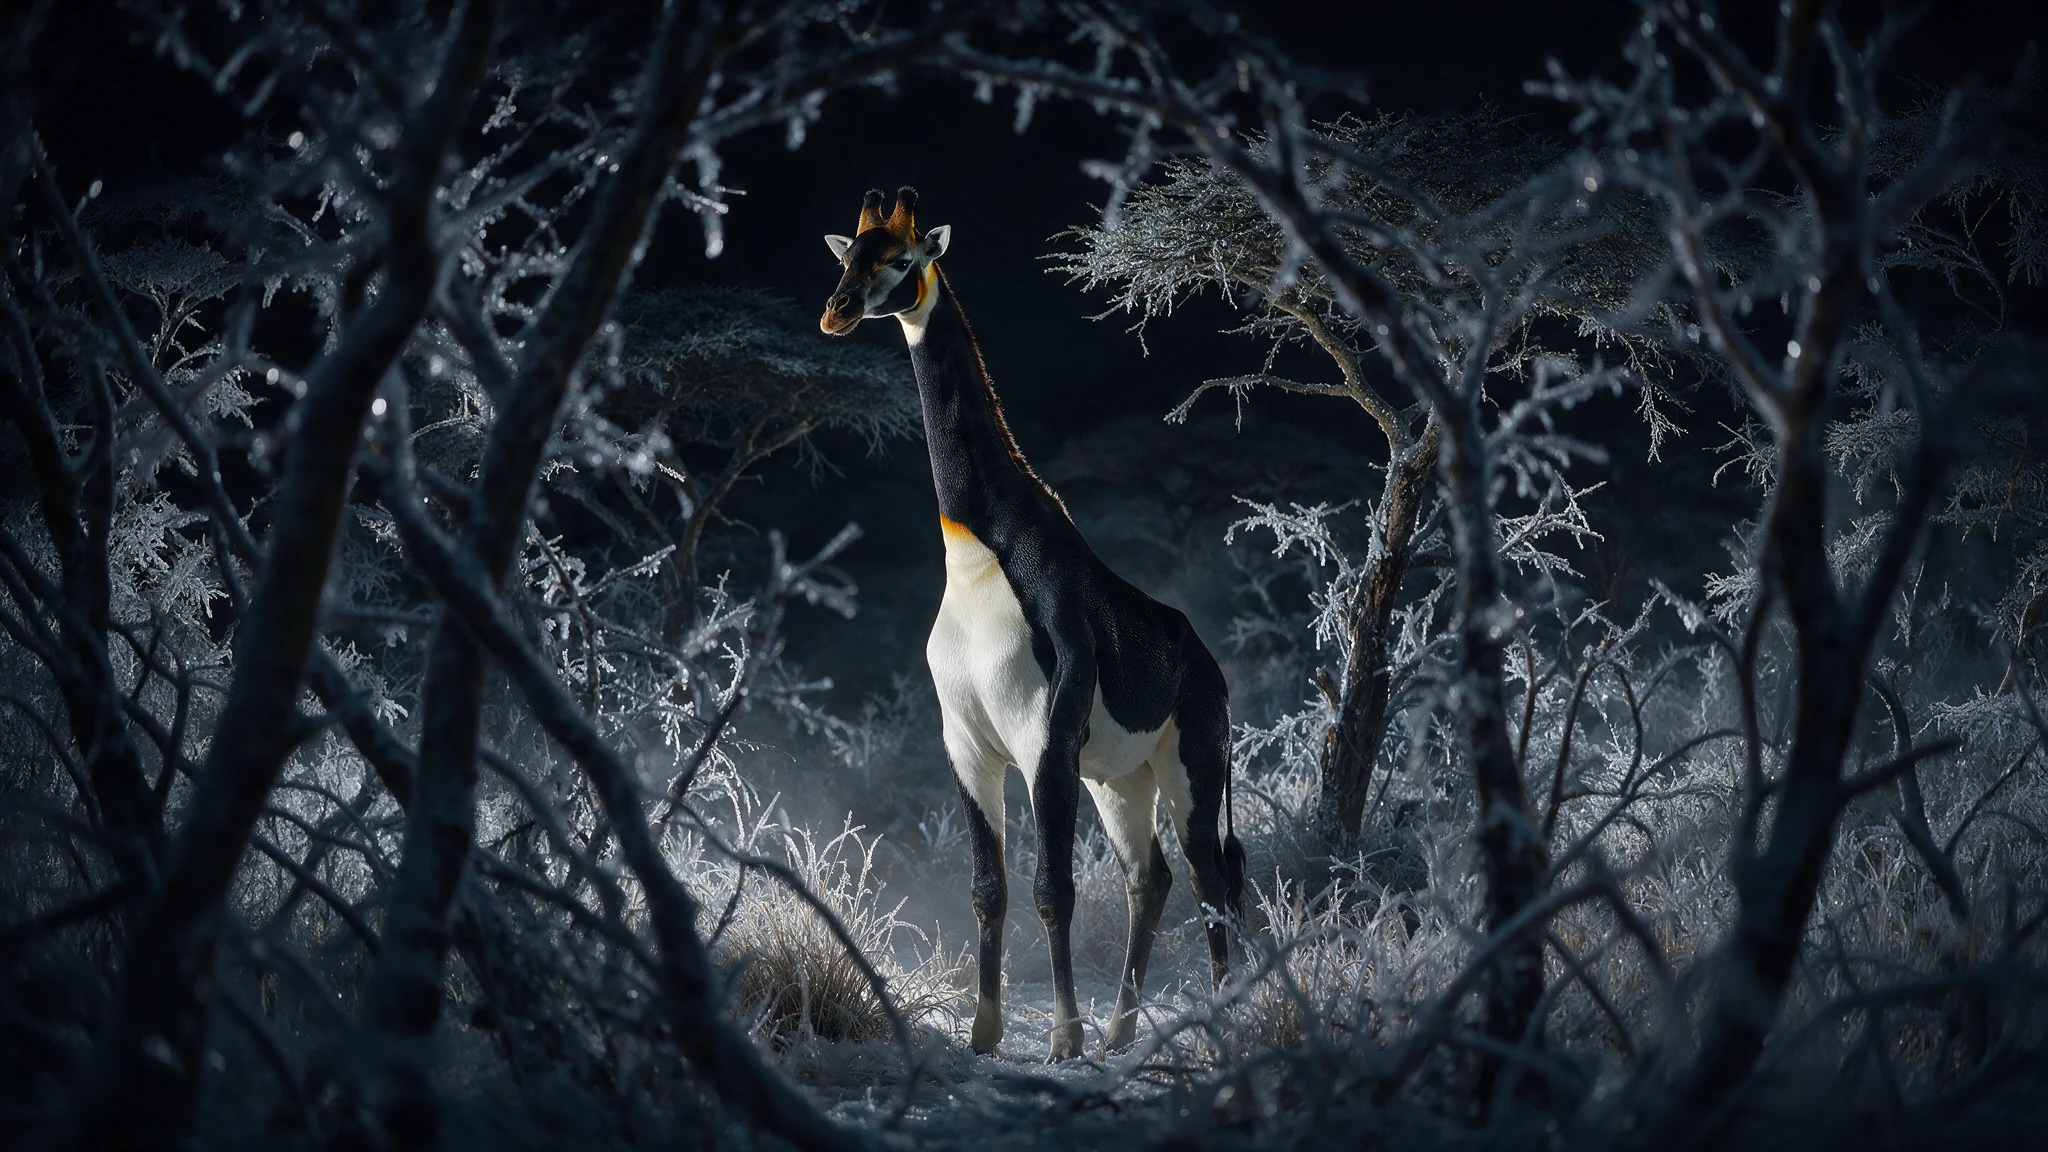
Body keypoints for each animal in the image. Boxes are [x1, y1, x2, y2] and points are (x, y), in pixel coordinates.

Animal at [820, 187, 1246, 1061]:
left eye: (902, 260)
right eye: (847, 258)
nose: (835, 313)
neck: (979, 545)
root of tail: (1211, 671)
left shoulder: (1043, 740)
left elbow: (1054, 889)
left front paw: (1061, 1040)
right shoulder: (968, 745)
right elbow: (989, 889)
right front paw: (985, 1033)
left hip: (1192, 763)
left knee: (1209, 876)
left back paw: (1208, 1024)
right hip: (1120, 780)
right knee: (1151, 877)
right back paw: (1122, 1032)